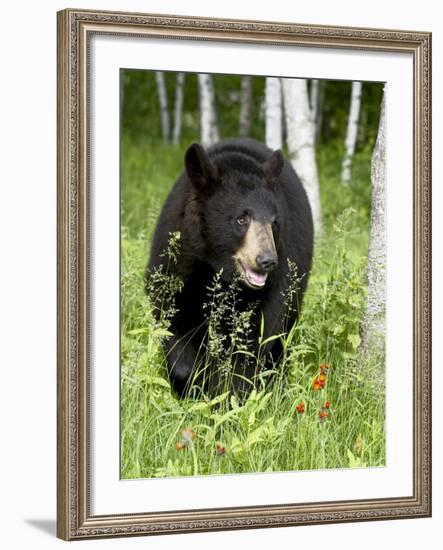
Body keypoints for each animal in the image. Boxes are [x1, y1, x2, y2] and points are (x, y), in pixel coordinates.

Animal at [147, 136, 314, 398]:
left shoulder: (276, 286)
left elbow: (252, 345)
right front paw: (192, 384)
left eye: (274, 223)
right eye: (241, 219)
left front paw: (228, 396)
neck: (217, 270)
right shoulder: (177, 262)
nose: (267, 260)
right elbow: (172, 318)